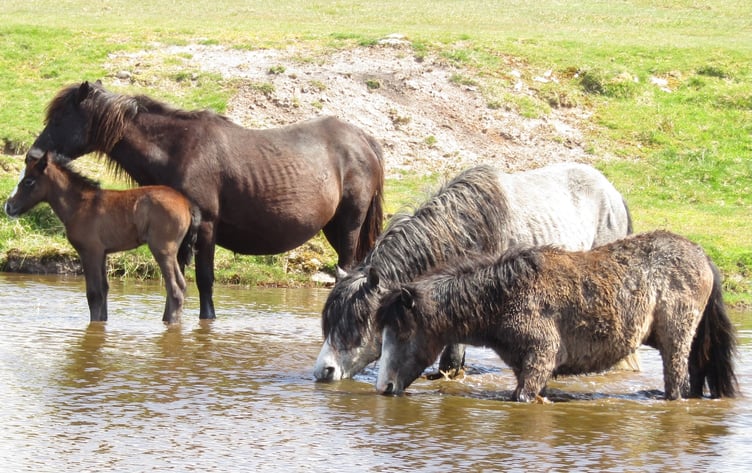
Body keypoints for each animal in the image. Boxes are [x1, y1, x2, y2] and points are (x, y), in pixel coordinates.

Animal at [4, 152, 201, 324]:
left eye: (29, 181)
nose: (8, 206)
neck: (80, 204)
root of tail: (186, 203)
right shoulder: (102, 253)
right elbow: (104, 291)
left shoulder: (89, 251)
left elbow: (94, 294)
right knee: (179, 287)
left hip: (163, 250)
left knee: (175, 289)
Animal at [26, 80, 385, 320]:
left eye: (59, 118)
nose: (33, 155)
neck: (178, 148)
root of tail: (362, 139)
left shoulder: (207, 226)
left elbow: (205, 280)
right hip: (334, 228)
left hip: (349, 225)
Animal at [375, 230, 739, 401]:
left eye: (402, 333)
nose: (384, 386)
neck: (506, 295)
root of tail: (702, 255)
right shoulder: (528, 366)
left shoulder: (540, 357)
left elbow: (523, 398)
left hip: (676, 342)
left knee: (677, 386)